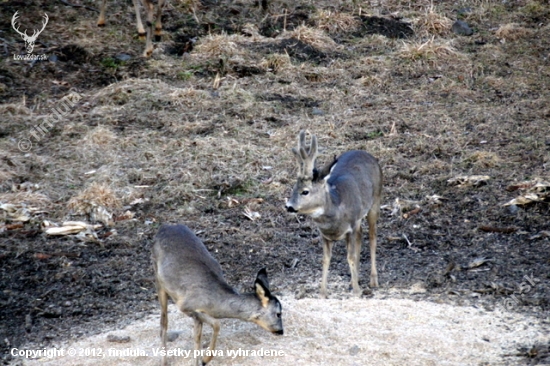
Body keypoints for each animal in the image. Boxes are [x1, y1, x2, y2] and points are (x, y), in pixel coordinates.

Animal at [153, 223, 286, 366]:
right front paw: (205, 359)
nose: (281, 331)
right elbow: (216, 324)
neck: (214, 302)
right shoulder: (186, 306)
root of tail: (164, 227)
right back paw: (164, 362)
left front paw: (199, 362)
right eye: (278, 313)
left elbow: (197, 337)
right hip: (158, 279)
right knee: (163, 323)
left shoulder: (197, 316)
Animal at [284, 131, 384, 298]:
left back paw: (373, 281)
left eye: (305, 191)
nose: (289, 206)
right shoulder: (324, 234)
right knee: (361, 236)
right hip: (359, 218)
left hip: (375, 200)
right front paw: (323, 292)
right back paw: (354, 280)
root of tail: (365, 153)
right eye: (293, 189)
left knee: (372, 236)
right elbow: (326, 259)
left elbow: (350, 256)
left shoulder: (351, 227)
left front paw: (357, 291)